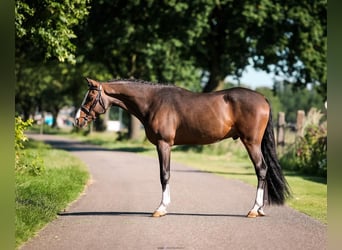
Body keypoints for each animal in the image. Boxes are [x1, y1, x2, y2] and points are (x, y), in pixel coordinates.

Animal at [75, 77, 292, 217]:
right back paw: (260, 209)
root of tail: (263, 99)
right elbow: (166, 174)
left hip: (251, 142)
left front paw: (161, 209)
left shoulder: (164, 144)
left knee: (261, 169)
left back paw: (254, 209)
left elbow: (164, 174)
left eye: (90, 97)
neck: (153, 101)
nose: (78, 120)